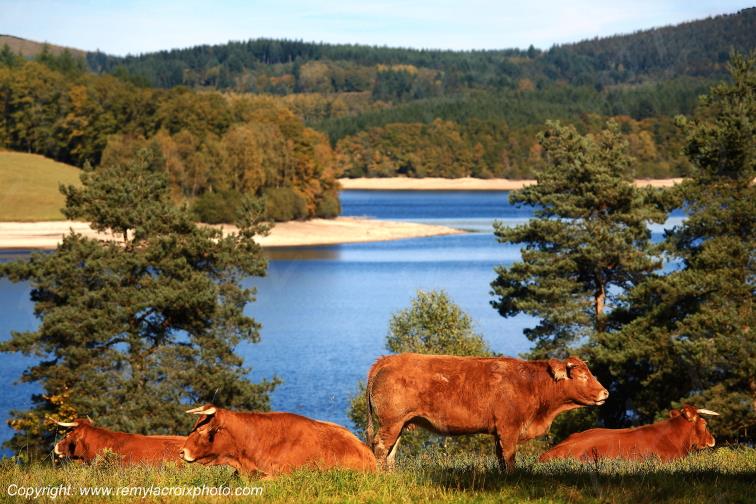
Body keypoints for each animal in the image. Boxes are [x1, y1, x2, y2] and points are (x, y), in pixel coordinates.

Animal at [365, 353, 609, 470]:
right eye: (582, 375)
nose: (605, 392)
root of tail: (388, 359)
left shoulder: (499, 432)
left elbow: (501, 458)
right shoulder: (509, 429)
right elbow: (509, 458)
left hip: (401, 423)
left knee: (391, 452)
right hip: (392, 422)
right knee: (380, 447)